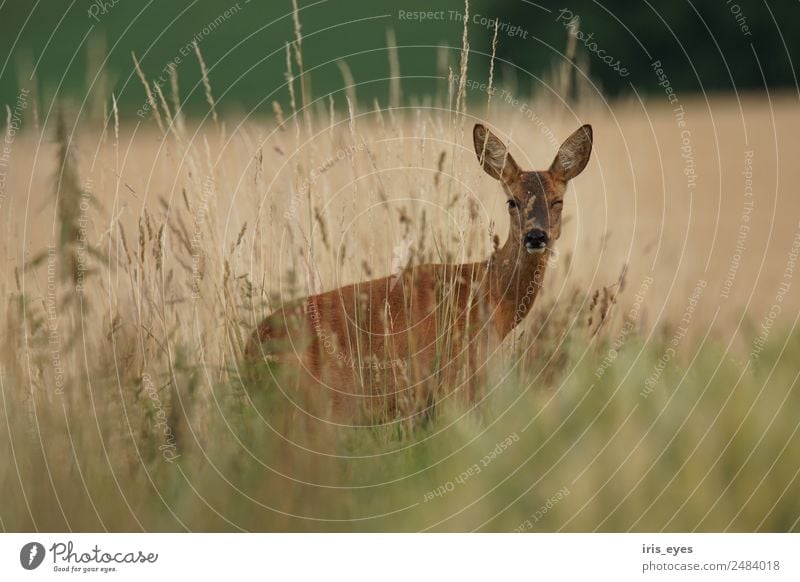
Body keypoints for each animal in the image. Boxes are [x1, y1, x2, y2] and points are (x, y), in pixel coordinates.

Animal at [245, 123, 592, 426]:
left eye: (557, 200)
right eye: (512, 201)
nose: (535, 236)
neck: (490, 299)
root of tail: (250, 349)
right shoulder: (458, 382)